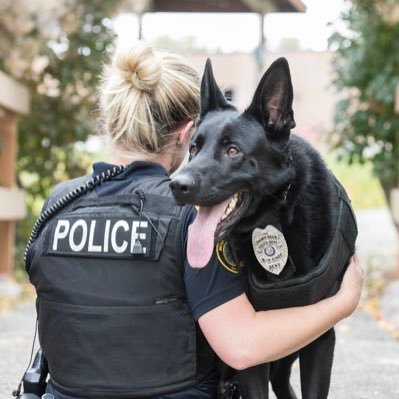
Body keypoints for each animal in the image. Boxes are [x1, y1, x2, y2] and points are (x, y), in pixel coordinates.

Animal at [170, 59, 358, 399]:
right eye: (193, 149)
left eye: (233, 151)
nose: (177, 186)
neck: (274, 216)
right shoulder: (251, 346)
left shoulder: (321, 337)